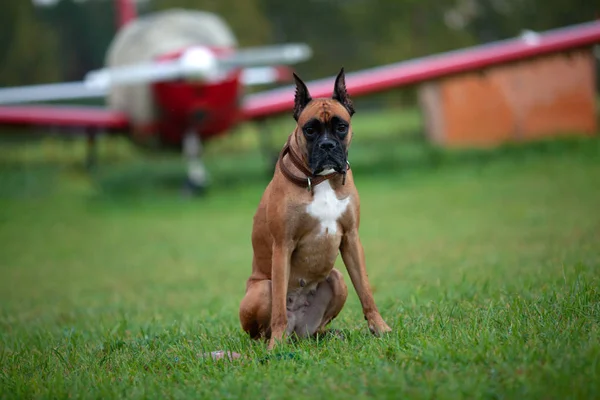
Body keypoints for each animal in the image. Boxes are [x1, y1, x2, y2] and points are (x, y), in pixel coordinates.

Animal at [241, 69, 392, 350]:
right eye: (310, 130)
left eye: (341, 127)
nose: (327, 145)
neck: (321, 179)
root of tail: (297, 332)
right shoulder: (283, 245)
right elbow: (278, 308)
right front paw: (275, 346)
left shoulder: (351, 239)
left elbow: (366, 291)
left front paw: (380, 328)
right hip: (262, 289)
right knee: (261, 329)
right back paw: (271, 342)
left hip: (337, 279)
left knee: (316, 327)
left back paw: (327, 334)